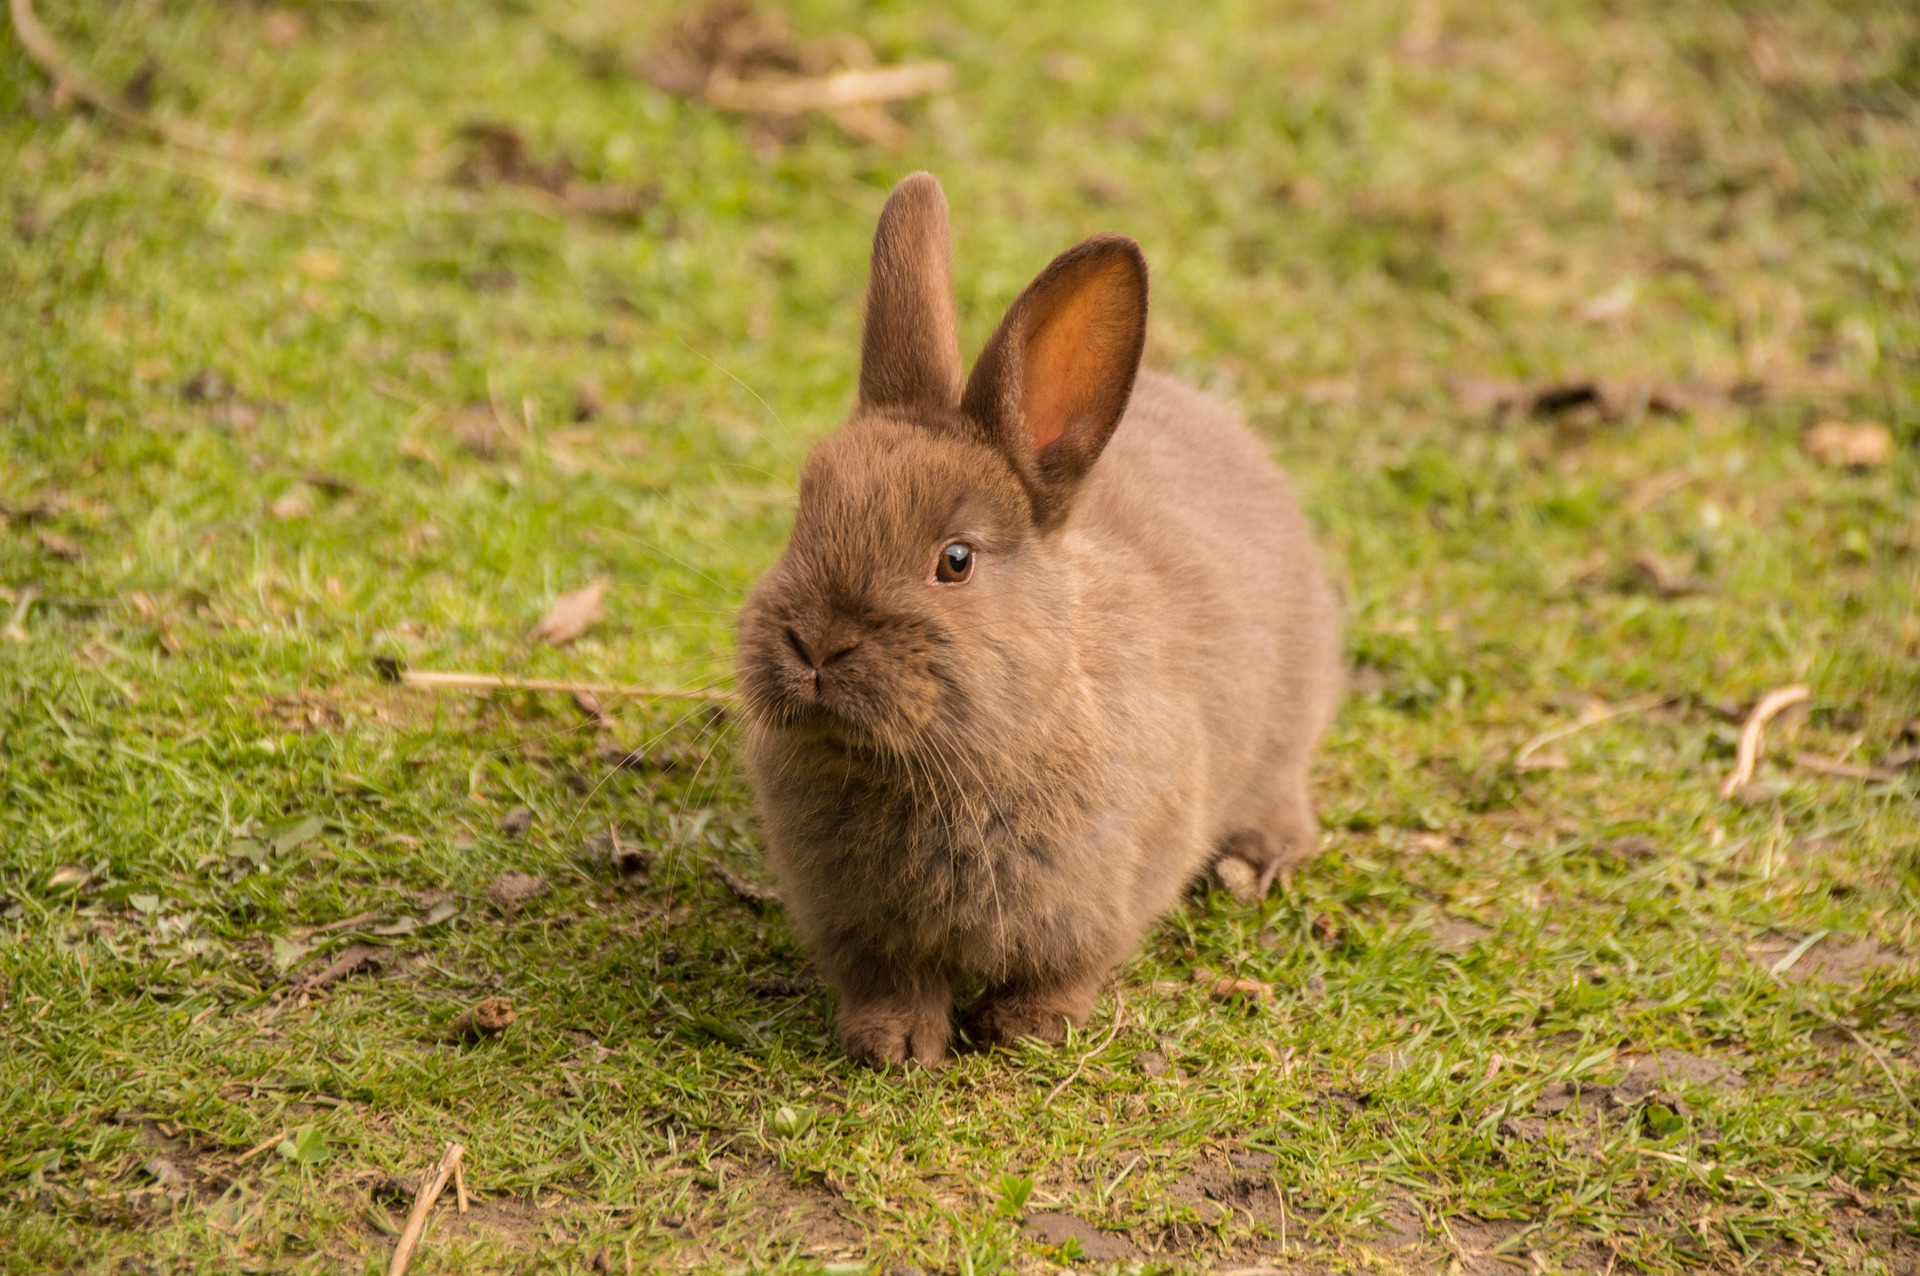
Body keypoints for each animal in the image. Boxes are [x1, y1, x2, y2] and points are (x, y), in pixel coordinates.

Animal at [725, 168, 1344, 1066]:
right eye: (803, 516)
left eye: (956, 561)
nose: (814, 644)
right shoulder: (858, 930)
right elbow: (890, 980)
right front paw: (893, 1045)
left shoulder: (1106, 896)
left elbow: (1067, 970)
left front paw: (1025, 1030)